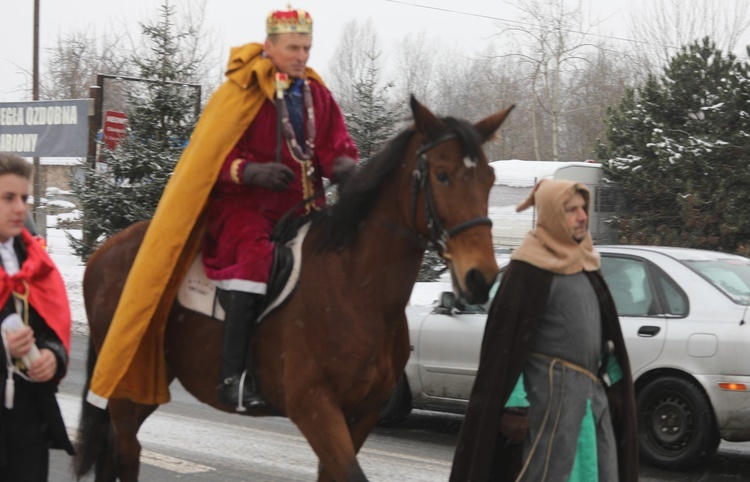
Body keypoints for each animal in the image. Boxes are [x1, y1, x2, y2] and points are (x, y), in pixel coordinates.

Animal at [73, 96, 516, 480]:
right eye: (441, 174)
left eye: (489, 179)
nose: (481, 277)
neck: (357, 289)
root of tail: (104, 250)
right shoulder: (314, 408)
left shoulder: (361, 413)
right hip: (127, 380)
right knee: (126, 452)